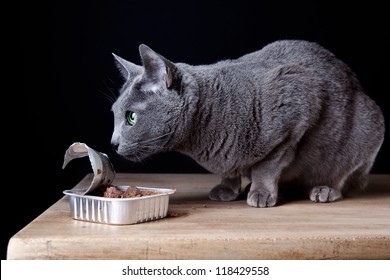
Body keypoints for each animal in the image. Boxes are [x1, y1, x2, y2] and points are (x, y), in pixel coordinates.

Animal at [109, 41, 384, 208]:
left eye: (131, 117)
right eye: (114, 114)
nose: (112, 143)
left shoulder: (296, 111)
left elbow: (267, 167)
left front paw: (261, 193)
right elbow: (229, 170)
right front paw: (227, 189)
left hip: (368, 129)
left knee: (343, 177)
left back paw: (324, 189)